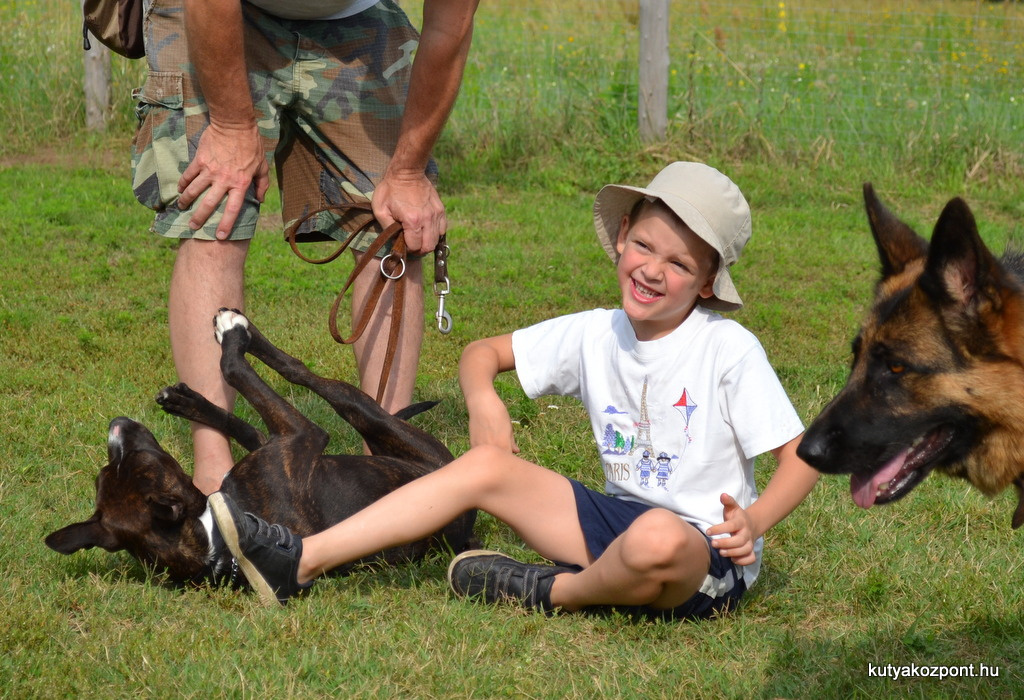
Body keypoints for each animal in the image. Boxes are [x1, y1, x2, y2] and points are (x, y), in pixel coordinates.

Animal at [46, 309, 477, 589]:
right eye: (137, 460)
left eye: (109, 470)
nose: (117, 427)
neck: (217, 541)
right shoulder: (300, 435)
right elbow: (237, 372)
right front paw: (234, 337)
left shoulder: (273, 442)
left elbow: (242, 415)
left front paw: (189, 402)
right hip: (371, 416)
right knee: (309, 375)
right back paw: (238, 329)